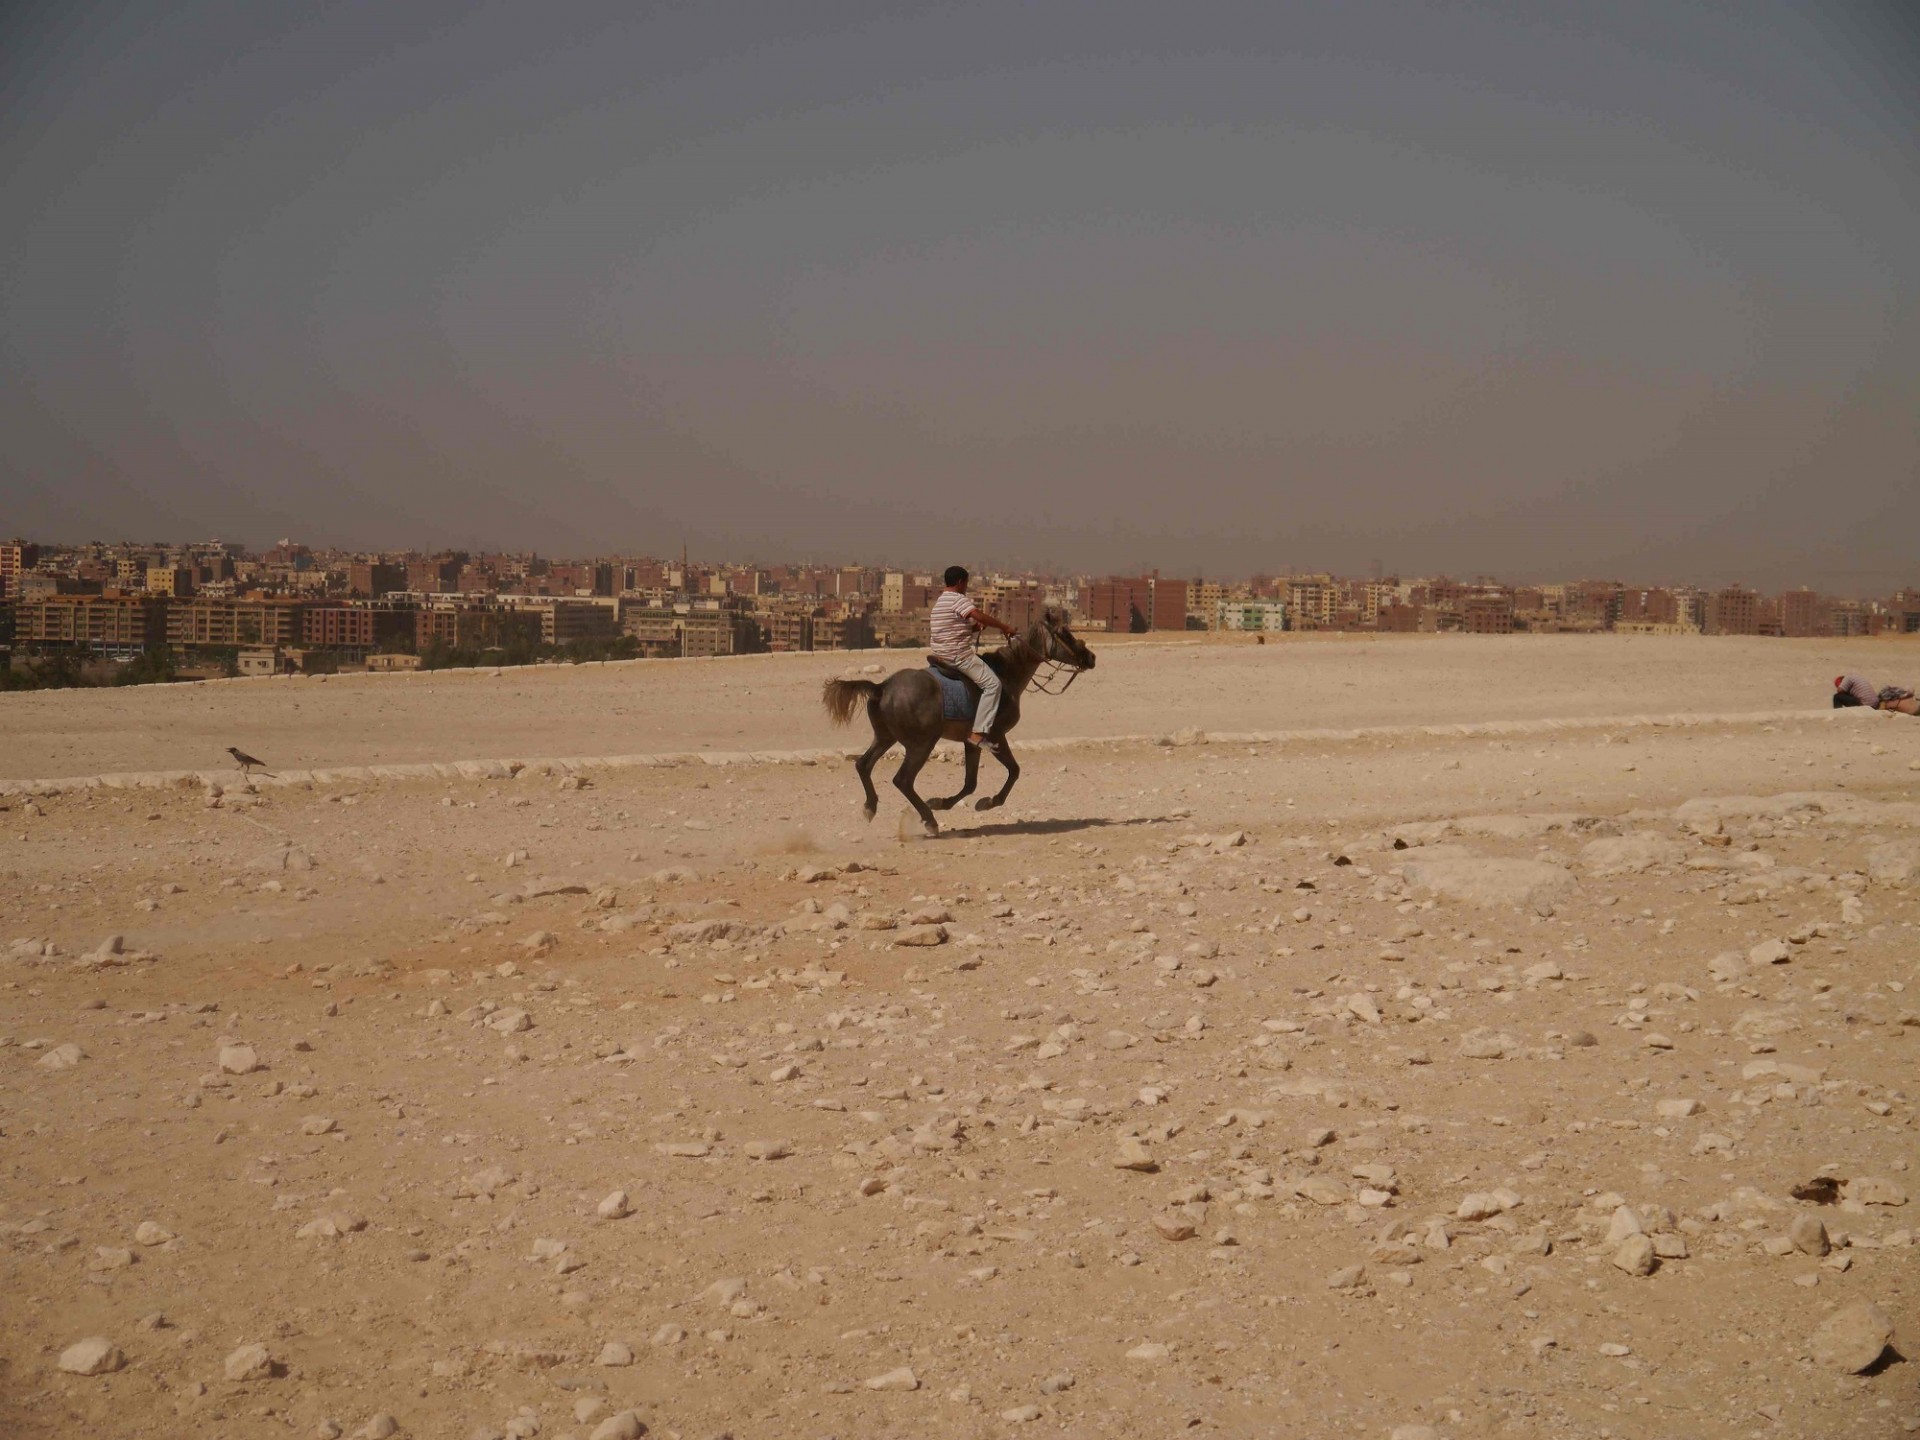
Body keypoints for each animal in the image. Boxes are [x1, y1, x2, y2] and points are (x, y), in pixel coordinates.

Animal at [821, 610, 1098, 833]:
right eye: (1064, 633)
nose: (1091, 657)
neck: (1007, 673)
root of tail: (882, 687)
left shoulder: (972, 741)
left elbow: (970, 783)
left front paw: (943, 802)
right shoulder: (996, 736)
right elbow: (1013, 771)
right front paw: (988, 803)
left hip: (885, 737)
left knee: (863, 765)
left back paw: (871, 807)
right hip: (922, 744)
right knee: (902, 780)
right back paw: (929, 821)